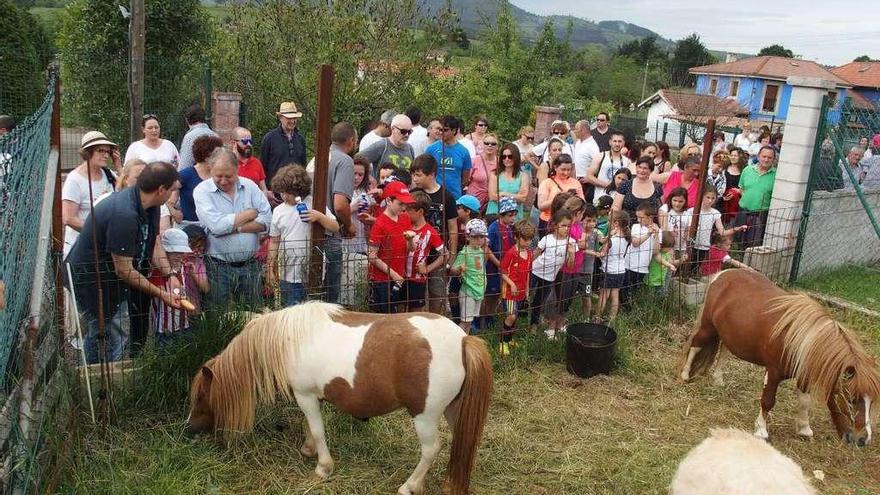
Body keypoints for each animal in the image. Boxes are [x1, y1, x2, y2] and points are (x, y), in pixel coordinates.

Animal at [185, 302, 492, 495]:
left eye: (200, 396)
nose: (189, 429)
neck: (288, 339)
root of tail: (463, 340)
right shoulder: (312, 397)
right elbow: (309, 427)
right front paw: (309, 449)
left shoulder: (306, 395)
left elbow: (318, 429)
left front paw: (323, 467)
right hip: (454, 409)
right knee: (462, 441)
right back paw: (451, 483)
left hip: (425, 416)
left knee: (431, 449)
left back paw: (410, 486)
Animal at [680, 270, 880, 448]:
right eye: (851, 399)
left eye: (872, 402)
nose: (863, 439)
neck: (800, 339)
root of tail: (722, 274)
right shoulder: (773, 372)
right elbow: (768, 400)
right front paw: (761, 430)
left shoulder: (804, 374)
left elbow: (805, 401)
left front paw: (804, 429)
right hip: (708, 327)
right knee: (695, 345)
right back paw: (685, 375)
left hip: (729, 334)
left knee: (724, 352)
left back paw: (718, 380)